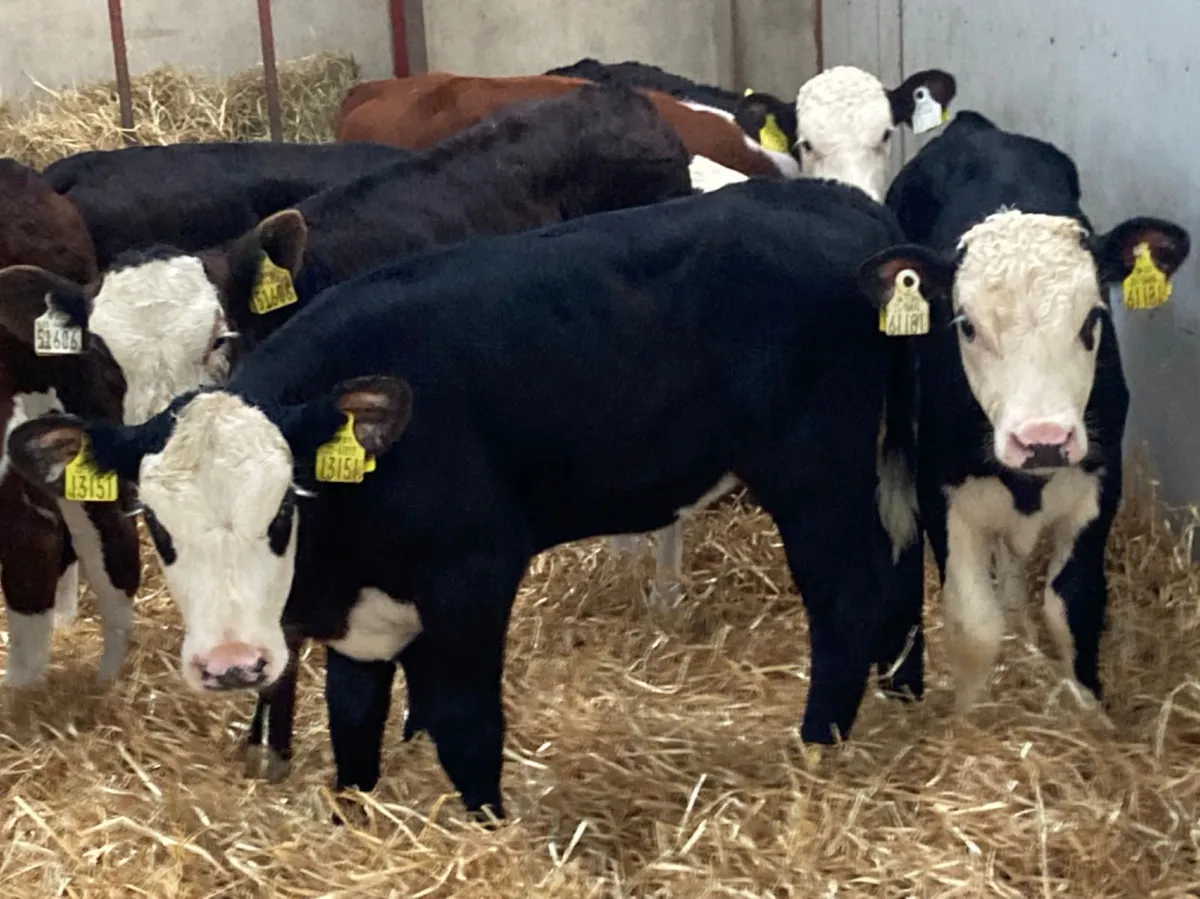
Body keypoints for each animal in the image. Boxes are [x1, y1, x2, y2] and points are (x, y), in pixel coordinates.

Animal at [861, 110, 1191, 714]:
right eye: (965, 325)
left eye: (1094, 317)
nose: (1043, 439)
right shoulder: (942, 492)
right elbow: (974, 622)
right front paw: (967, 718)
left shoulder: (1099, 483)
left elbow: (1072, 605)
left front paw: (1089, 712)